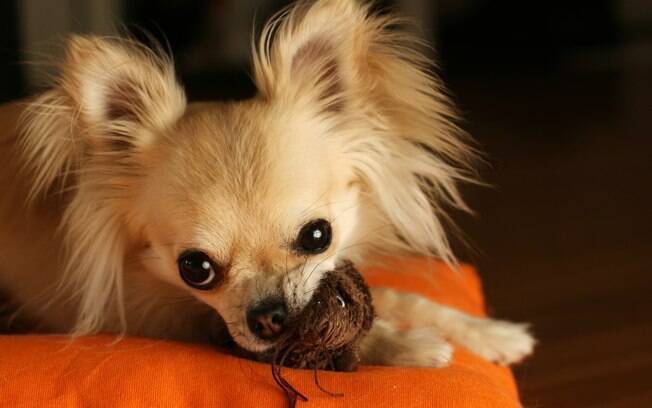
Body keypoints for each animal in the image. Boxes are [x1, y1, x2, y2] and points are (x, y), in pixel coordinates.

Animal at [0, 0, 536, 368]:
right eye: (195, 268)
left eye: (318, 236)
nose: (268, 315)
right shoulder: (165, 314)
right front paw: (413, 346)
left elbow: (403, 297)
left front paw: (491, 333)